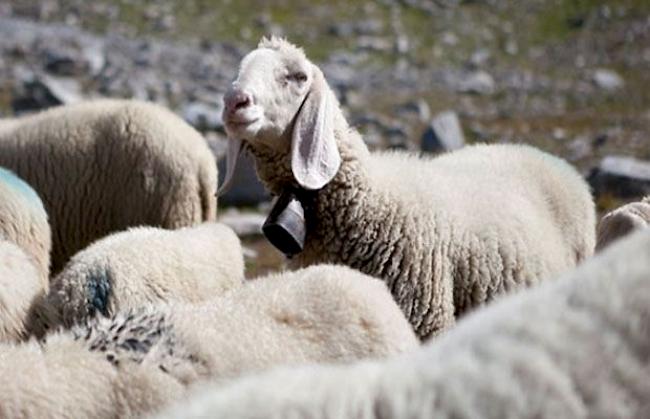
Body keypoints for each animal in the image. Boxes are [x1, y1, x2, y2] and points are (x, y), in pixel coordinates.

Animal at [220, 37, 596, 342]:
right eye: (240, 67)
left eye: (298, 76)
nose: (234, 100)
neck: (368, 203)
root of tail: (544, 155)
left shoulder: (422, 317)